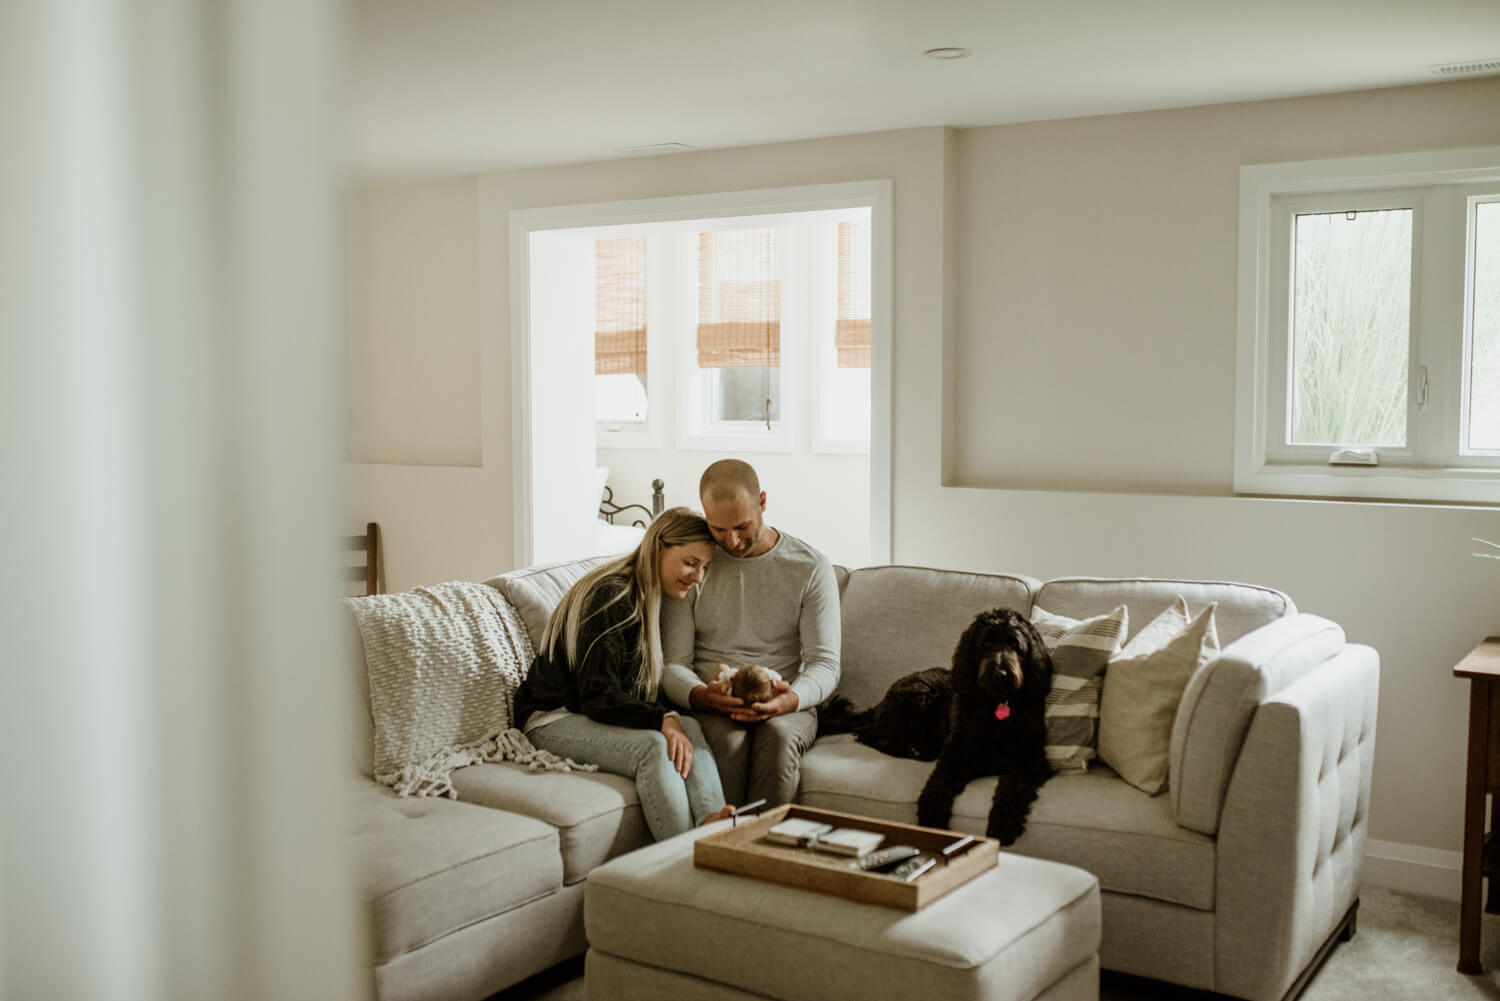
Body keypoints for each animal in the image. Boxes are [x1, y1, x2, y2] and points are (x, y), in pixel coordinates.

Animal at [822, 606, 1056, 852]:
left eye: (1015, 644)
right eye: (986, 643)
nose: (1000, 674)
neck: (996, 705)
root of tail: (882, 700)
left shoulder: (1032, 761)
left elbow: (1012, 787)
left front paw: (1003, 824)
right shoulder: (954, 758)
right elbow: (937, 787)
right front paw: (932, 823)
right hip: (918, 698)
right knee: (869, 735)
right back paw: (912, 749)